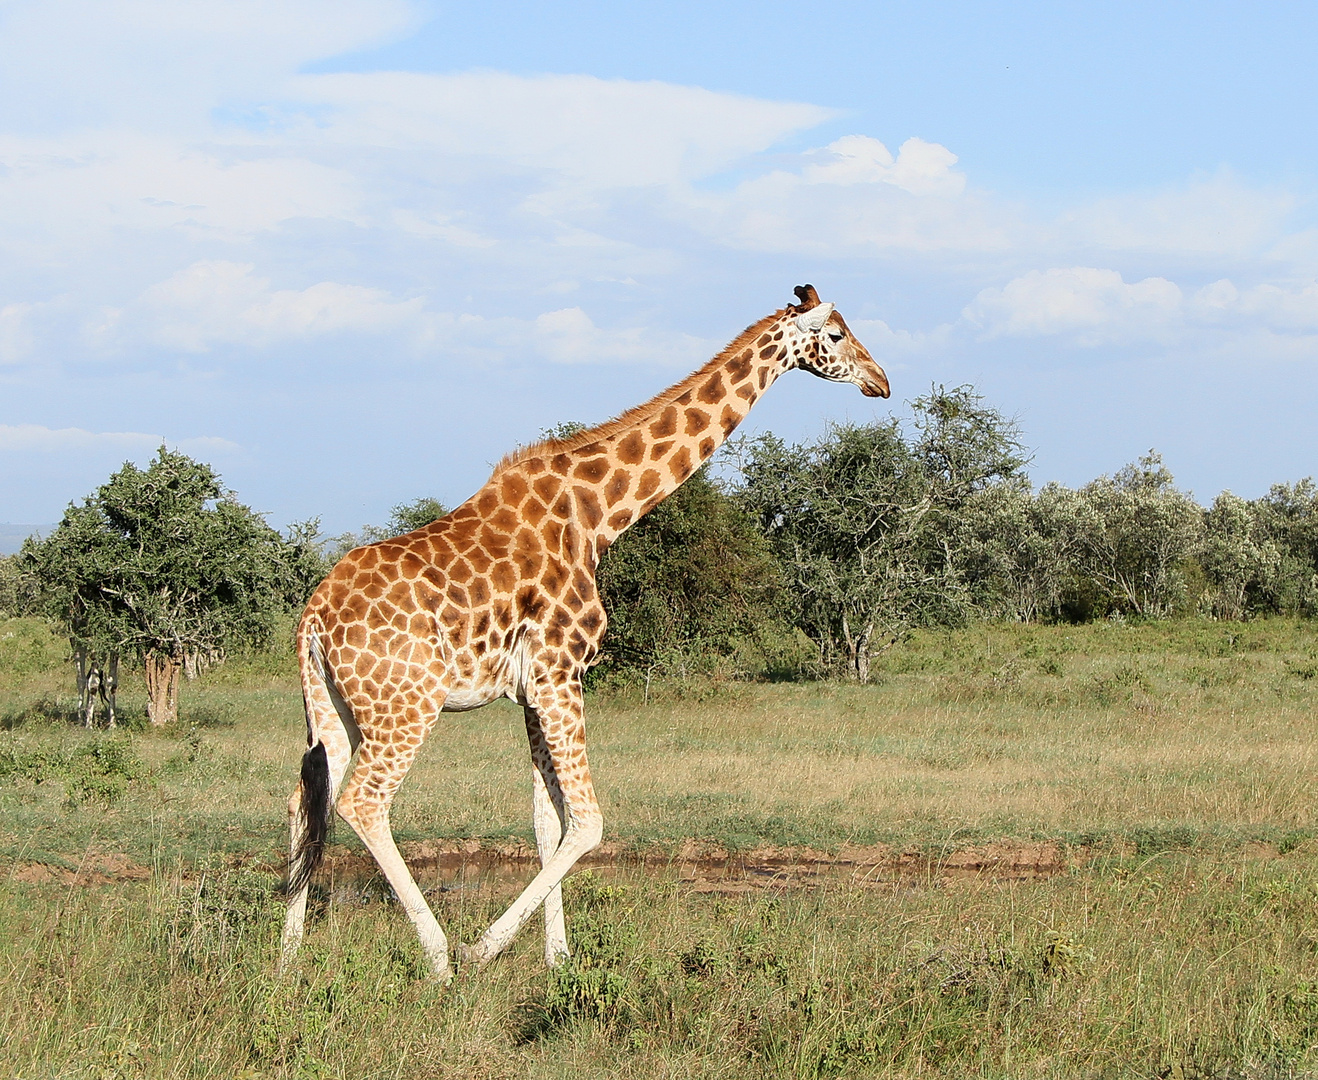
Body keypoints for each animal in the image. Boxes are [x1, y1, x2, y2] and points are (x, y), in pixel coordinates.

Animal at [282, 284, 890, 981]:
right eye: (837, 335)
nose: (881, 382)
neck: (598, 517)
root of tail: (312, 618)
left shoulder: (532, 689)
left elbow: (549, 824)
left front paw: (558, 960)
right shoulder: (560, 671)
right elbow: (590, 823)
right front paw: (489, 947)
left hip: (335, 708)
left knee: (307, 797)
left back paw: (287, 957)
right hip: (406, 706)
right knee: (363, 802)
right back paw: (440, 956)